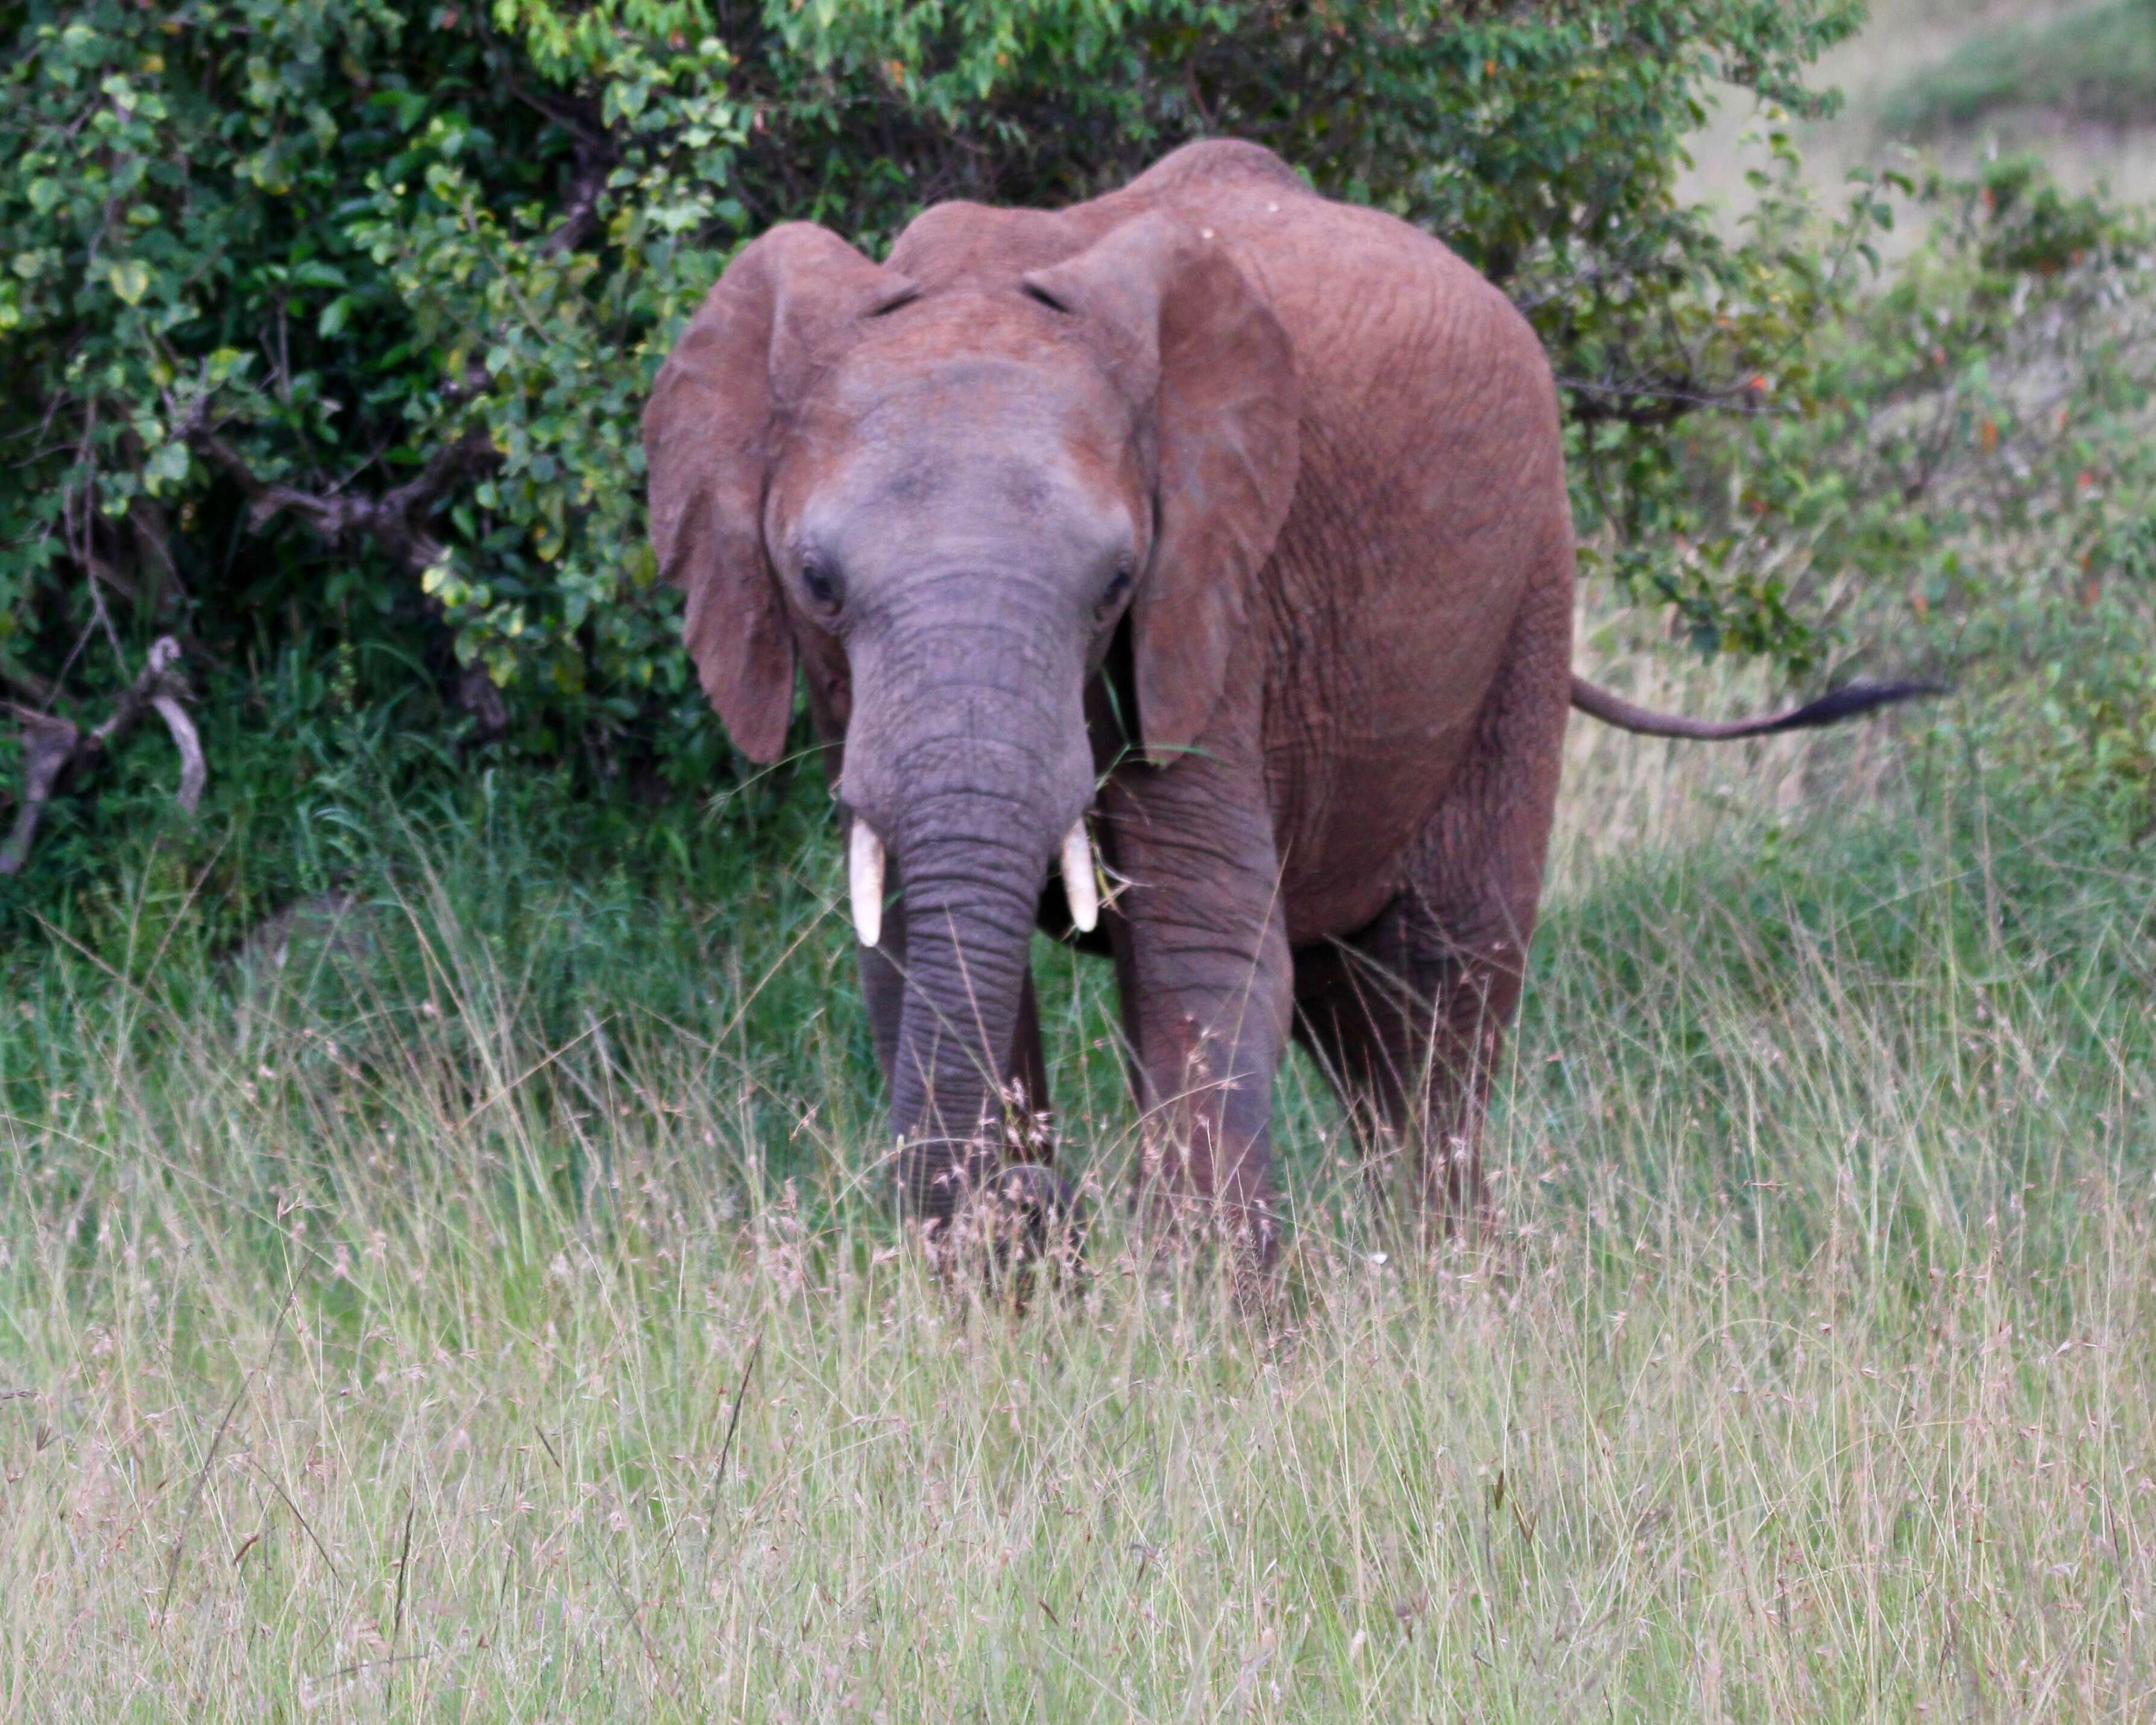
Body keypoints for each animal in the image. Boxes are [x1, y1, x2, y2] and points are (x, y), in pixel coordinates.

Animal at [634, 141, 1923, 1259]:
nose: (1047, 1198)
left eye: (1115, 585)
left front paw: (1213, 1347)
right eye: (816, 582)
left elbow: (1198, 952)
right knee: (1358, 1016)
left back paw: (1454, 1292)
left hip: (1526, 601)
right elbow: (909, 953)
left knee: (1435, 999)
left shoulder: (1221, 604)